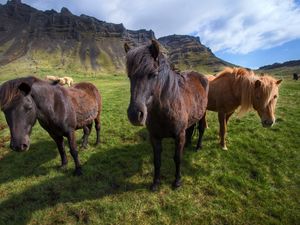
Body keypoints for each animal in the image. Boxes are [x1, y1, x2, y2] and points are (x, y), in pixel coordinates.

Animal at [124, 40, 209, 190]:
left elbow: (177, 158)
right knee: (190, 129)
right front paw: (155, 183)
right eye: (129, 76)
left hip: (203, 114)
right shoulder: (155, 137)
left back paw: (198, 146)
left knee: (201, 128)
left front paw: (177, 181)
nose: (135, 114)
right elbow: (157, 160)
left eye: (153, 74)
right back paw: (188, 145)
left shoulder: (179, 135)